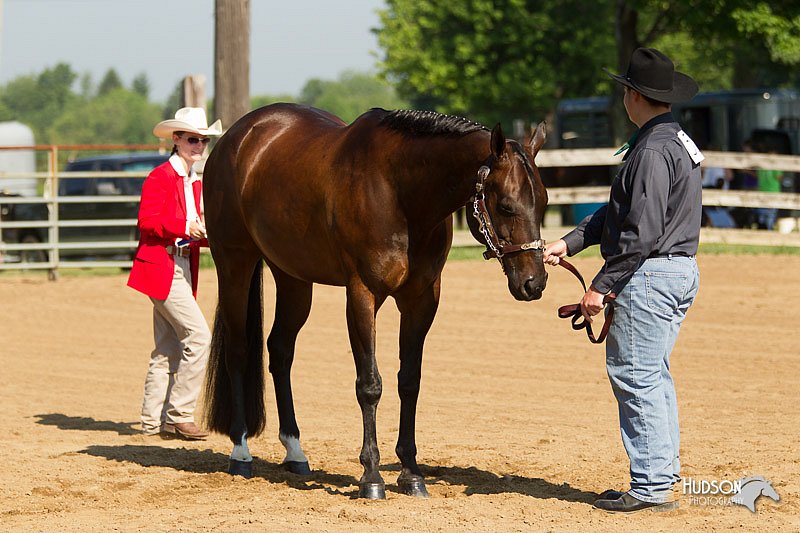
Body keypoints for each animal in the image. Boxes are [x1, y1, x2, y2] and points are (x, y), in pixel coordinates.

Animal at [202, 103, 552, 498]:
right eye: (506, 205)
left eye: (544, 201)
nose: (534, 283)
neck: (400, 193)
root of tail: (237, 137)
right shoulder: (362, 295)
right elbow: (369, 384)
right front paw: (371, 476)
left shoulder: (421, 300)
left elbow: (409, 381)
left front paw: (411, 473)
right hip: (234, 263)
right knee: (239, 351)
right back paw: (240, 453)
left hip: (293, 278)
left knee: (280, 351)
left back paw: (295, 452)